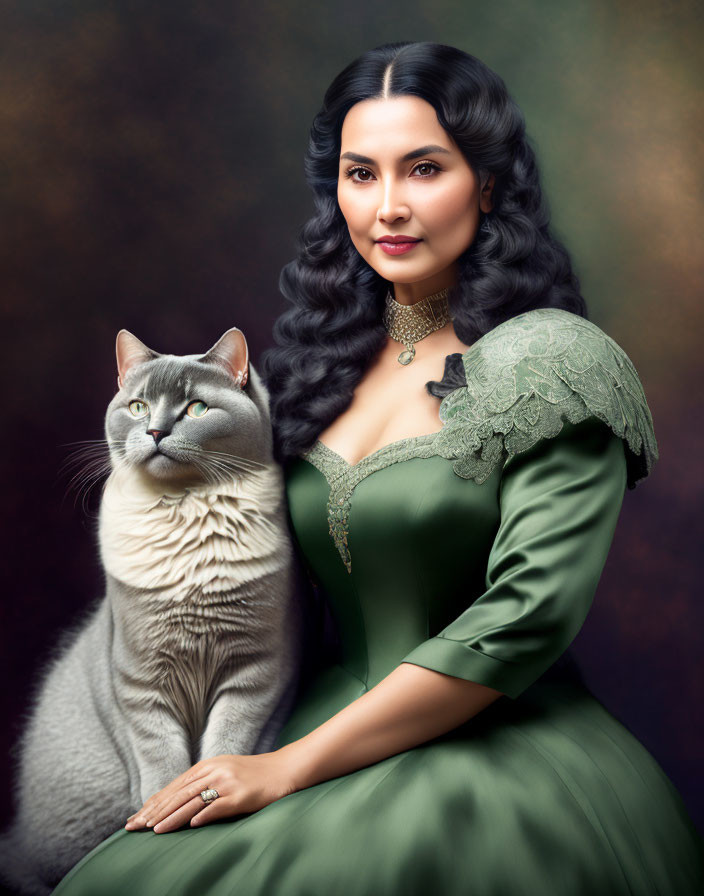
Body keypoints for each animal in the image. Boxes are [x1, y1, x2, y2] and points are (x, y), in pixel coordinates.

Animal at [0, 328, 304, 896]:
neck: (185, 516)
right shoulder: (140, 679)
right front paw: (160, 812)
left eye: (197, 407)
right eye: (138, 405)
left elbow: (225, 744)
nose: (157, 430)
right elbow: (161, 757)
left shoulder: (256, 669)